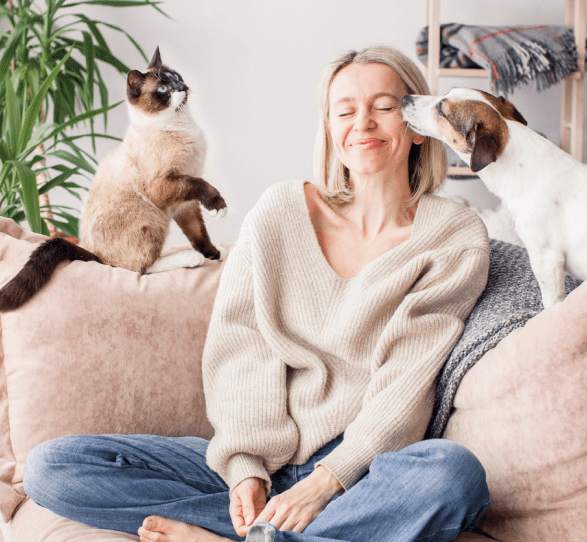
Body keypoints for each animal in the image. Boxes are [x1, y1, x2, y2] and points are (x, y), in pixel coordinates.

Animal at [0, 48, 227, 312]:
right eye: (163, 88)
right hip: (153, 216)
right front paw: (219, 208)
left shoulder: (185, 204)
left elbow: (199, 234)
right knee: (138, 268)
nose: (183, 87)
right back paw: (191, 260)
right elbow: (203, 188)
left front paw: (215, 254)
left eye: (176, 77)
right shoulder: (168, 185)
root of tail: (96, 257)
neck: (182, 125)